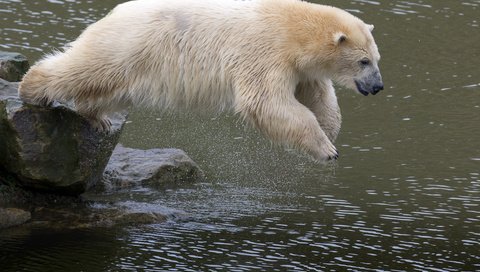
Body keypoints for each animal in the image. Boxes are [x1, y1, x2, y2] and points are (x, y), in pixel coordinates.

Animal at [18, 0, 384, 162]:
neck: (292, 26)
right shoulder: (265, 51)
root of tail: (113, 13)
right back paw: (31, 88)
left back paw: (98, 118)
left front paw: (330, 132)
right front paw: (326, 149)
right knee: (88, 67)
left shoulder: (298, 66)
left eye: (376, 59)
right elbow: (266, 102)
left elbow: (317, 95)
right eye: (364, 61)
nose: (378, 87)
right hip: (130, 45)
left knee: (108, 87)